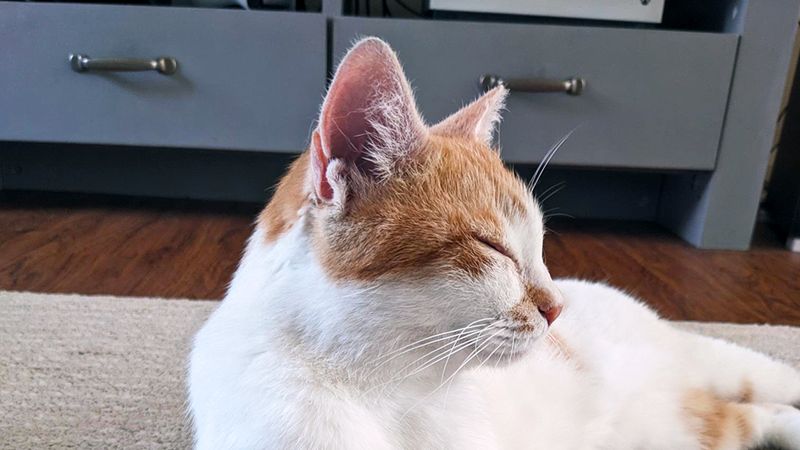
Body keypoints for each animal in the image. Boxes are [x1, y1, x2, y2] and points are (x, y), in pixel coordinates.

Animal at [189, 38, 800, 450]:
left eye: (541, 249)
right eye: (496, 248)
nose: (556, 309)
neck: (388, 392)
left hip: (710, 363)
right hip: (679, 429)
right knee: (740, 418)